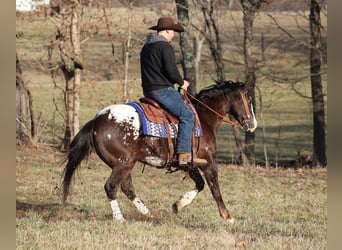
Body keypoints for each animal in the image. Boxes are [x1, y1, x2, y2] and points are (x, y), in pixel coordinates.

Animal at [62, 79, 258, 223]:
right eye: (248, 100)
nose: (253, 125)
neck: (203, 119)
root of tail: (97, 120)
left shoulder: (189, 164)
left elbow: (200, 185)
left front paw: (179, 205)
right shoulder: (209, 162)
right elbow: (214, 188)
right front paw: (228, 217)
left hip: (123, 164)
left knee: (127, 188)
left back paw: (147, 213)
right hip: (124, 163)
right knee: (111, 186)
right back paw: (120, 218)